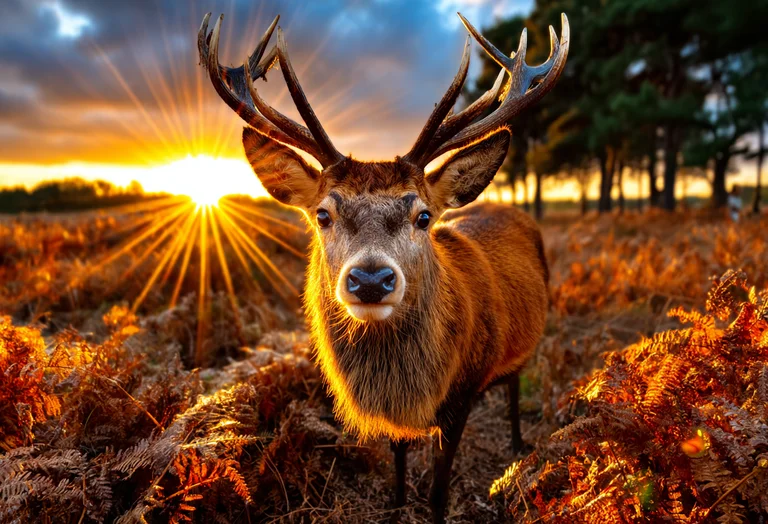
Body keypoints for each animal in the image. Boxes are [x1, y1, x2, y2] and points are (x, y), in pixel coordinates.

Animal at [199, 11, 569, 523]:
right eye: (323, 214)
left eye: (424, 216)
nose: (371, 279)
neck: (406, 392)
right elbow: (396, 458)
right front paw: (394, 505)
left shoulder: (462, 395)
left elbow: (438, 490)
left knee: (516, 383)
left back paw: (516, 442)